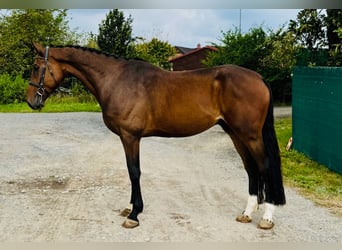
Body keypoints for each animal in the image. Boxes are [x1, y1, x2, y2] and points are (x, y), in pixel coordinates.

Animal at [26, 42, 284, 229]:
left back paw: (267, 217)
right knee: (251, 169)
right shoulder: (128, 138)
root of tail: (258, 78)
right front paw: (130, 207)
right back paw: (247, 213)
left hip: (250, 135)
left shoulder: (130, 136)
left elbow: (134, 172)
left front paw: (134, 214)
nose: (30, 101)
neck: (117, 79)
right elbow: (131, 172)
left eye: (37, 67)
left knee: (265, 167)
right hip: (235, 133)